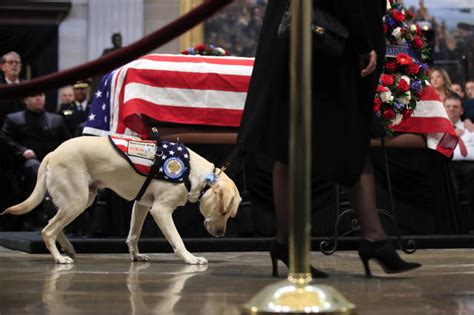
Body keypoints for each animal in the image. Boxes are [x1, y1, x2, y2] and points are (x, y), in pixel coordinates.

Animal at [0, 137, 241, 266]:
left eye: (230, 215)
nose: (221, 234)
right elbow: (177, 240)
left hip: (82, 200)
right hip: (76, 200)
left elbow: (133, 235)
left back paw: (67, 249)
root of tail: (51, 153)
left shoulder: (142, 205)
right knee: (48, 230)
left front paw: (136, 256)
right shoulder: (160, 210)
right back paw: (59, 258)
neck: (192, 172)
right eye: (223, 211)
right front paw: (191, 259)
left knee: (54, 224)